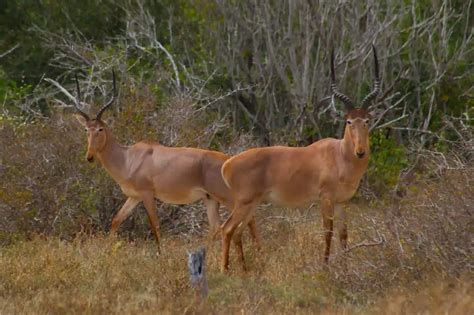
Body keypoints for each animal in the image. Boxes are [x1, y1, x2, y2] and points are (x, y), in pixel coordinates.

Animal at [51, 71, 260, 249]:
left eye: (100, 129)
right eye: (86, 129)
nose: (90, 157)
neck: (128, 157)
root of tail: (228, 161)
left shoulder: (147, 195)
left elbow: (155, 225)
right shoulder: (133, 196)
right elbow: (116, 220)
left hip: (227, 197)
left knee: (249, 218)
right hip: (210, 200)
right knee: (218, 227)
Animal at [219, 46, 382, 272]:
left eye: (366, 120)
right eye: (349, 121)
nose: (360, 151)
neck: (339, 155)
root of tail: (228, 164)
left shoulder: (342, 202)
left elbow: (343, 234)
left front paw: (346, 269)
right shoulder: (326, 199)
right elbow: (328, 232)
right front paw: (325, 267)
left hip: (252, 204)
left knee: (238, 232)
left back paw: (244, 270)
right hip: (244, 203)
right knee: (227, 229)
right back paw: (225, 271)